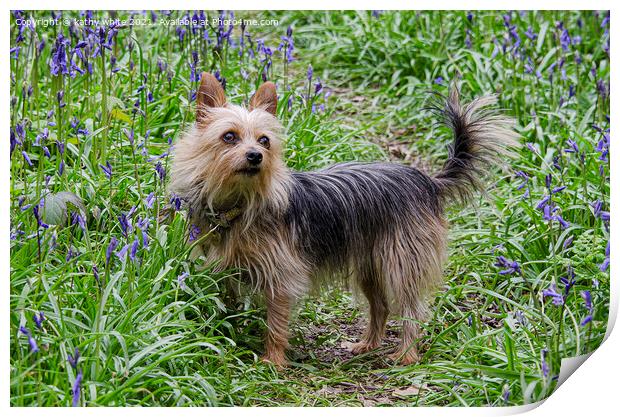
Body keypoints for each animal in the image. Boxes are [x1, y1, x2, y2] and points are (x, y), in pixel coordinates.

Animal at [167, 73, 516, 366]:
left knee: (411, 311)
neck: (240, 204)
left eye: (264, 140)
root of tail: (426, 181)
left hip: (400, 263)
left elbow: (276, 324)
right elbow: (230, 305)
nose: (255, 156)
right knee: (381, 306)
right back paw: (367, 345)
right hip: (370, 263)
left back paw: (406, 355)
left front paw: (273, 362)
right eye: (229, 137)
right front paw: (231, 333)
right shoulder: (226, 272)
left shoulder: (282, 278)